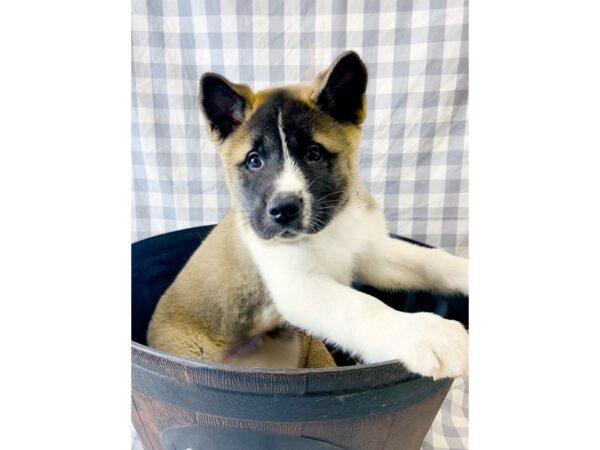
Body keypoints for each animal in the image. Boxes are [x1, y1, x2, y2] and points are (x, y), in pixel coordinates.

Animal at [146, 50, 468, 380]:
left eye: (314, 153)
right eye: (254, 161)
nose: (283, 210)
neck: (332, 228)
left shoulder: (373, 256)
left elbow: (430, 261)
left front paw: (466, 272)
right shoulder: (301, 286)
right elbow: (361, 306)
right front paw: (425, 333)